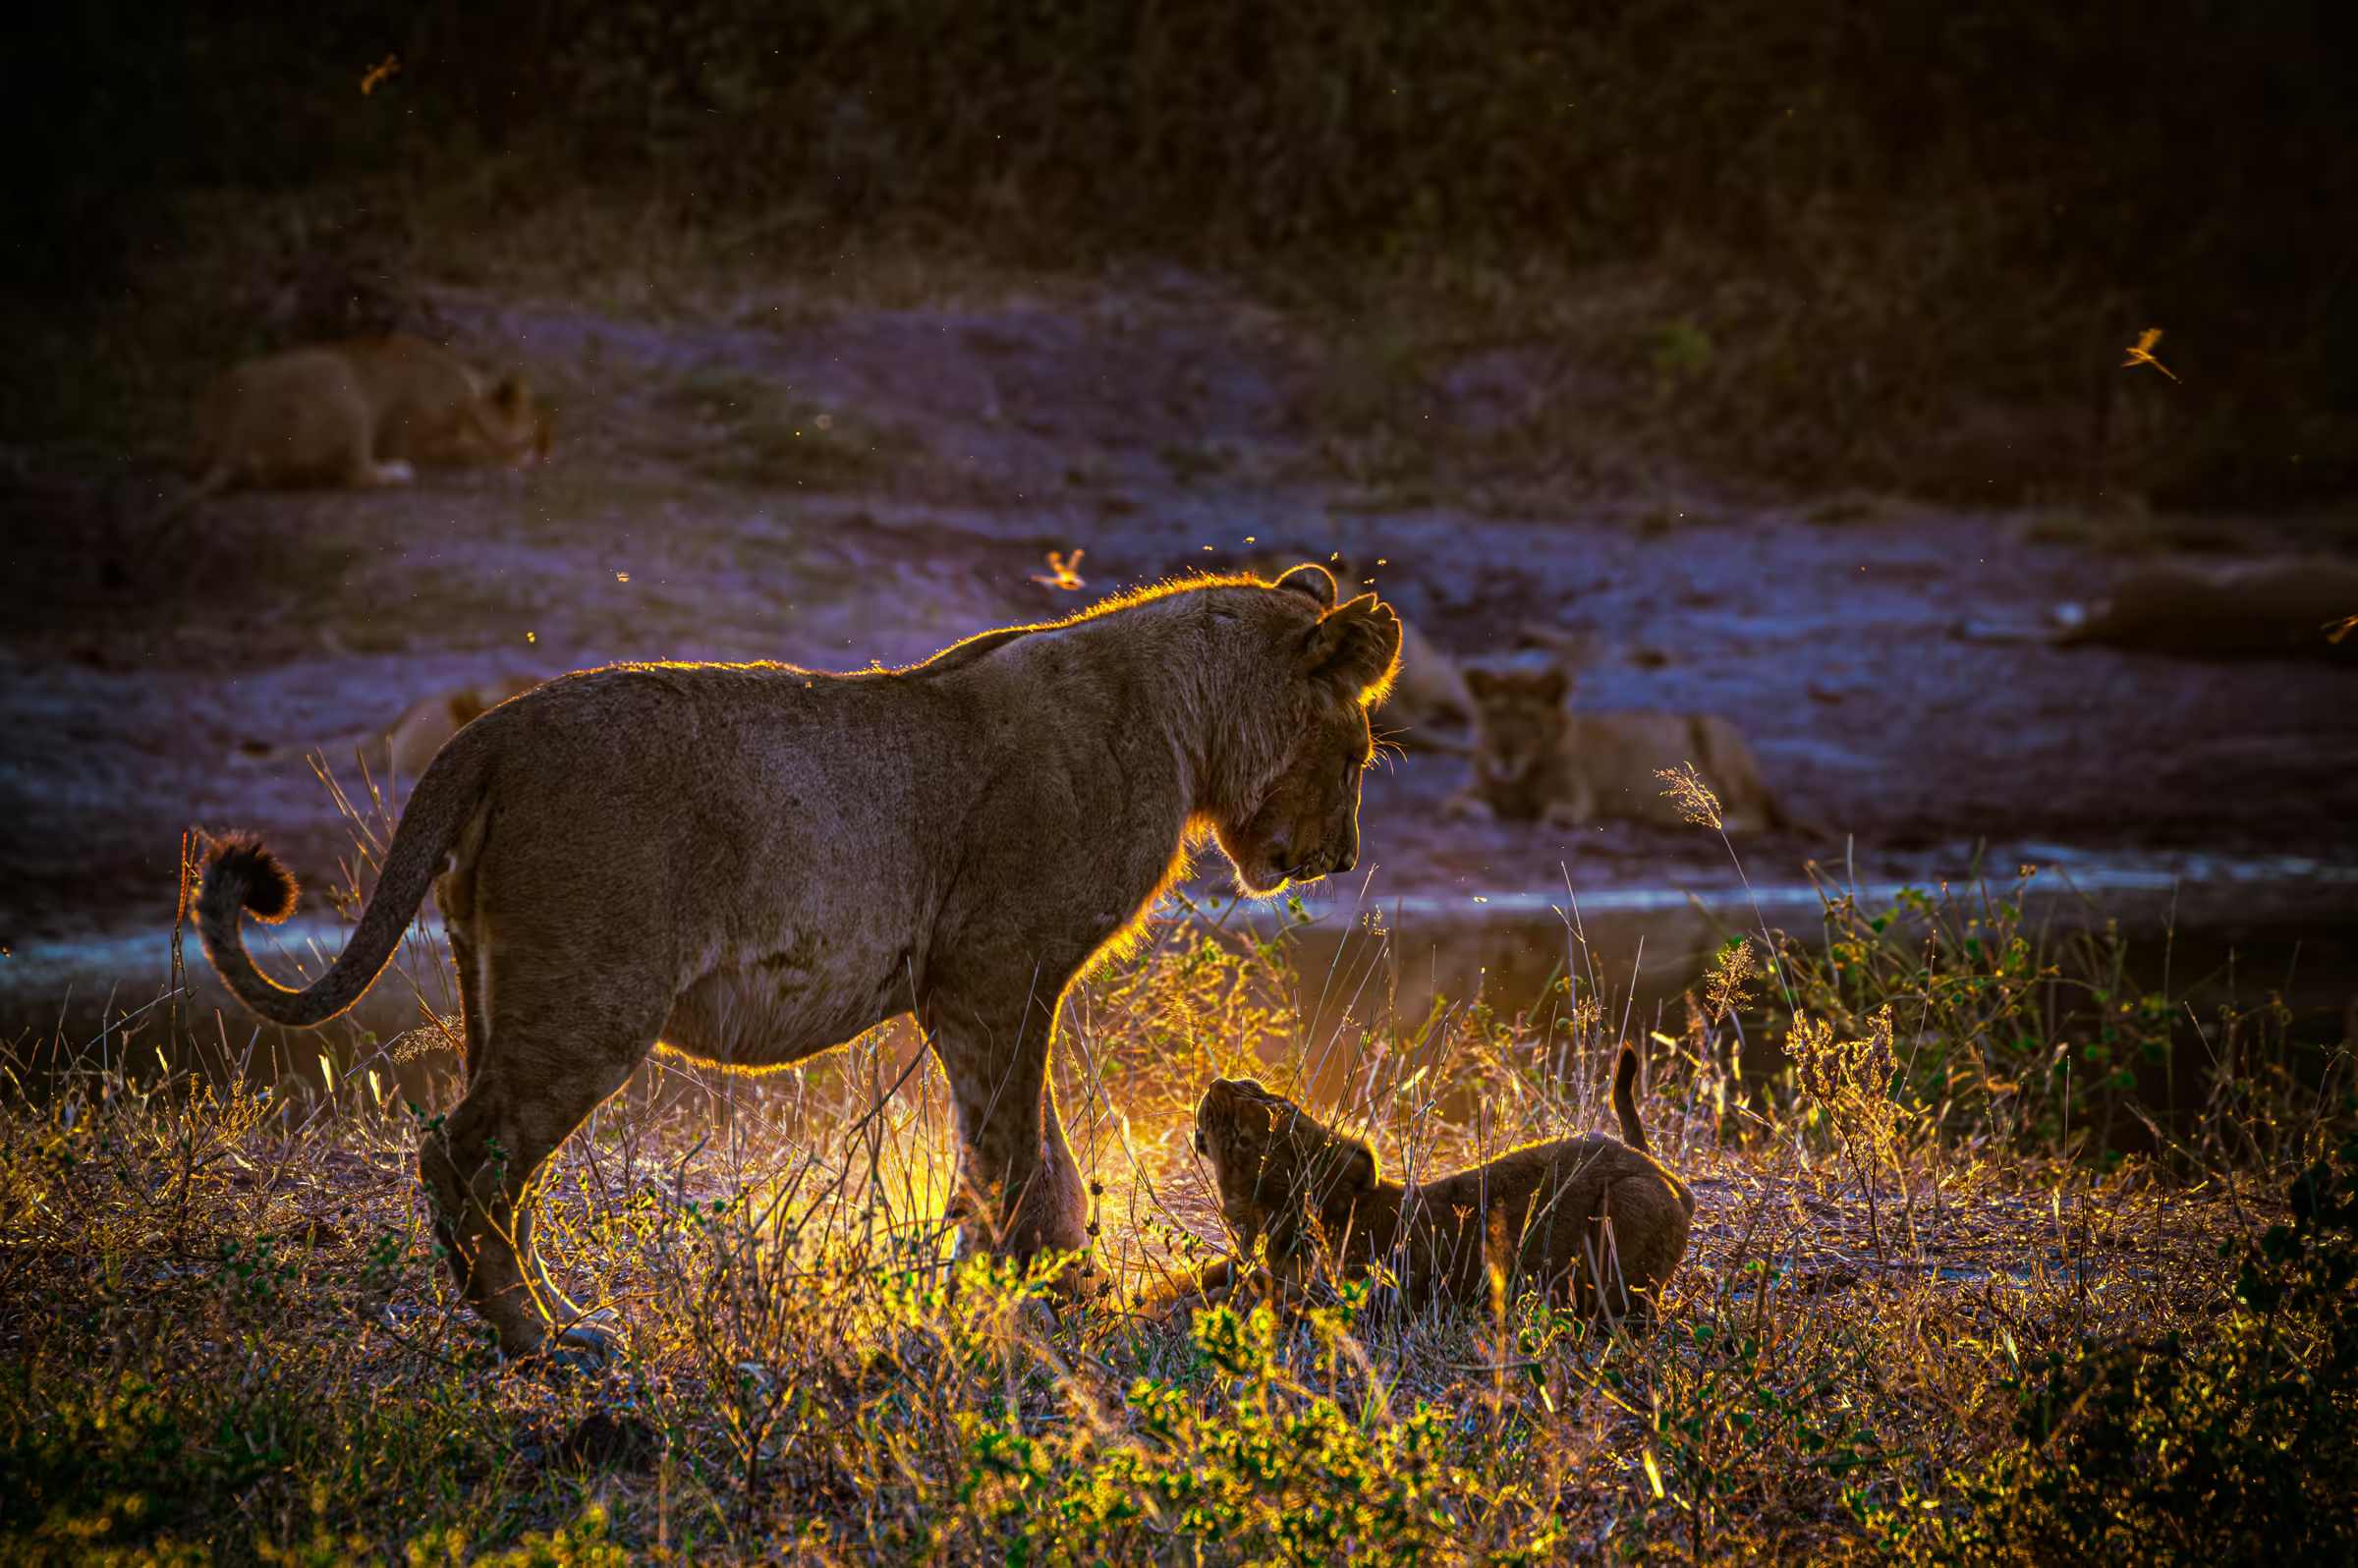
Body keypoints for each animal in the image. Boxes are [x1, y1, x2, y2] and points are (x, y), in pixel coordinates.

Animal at [185, 333, 548, 496]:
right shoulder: (415, 439)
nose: (547, 452)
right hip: (341, 383)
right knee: (357, 474)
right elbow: (465, 452)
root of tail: (234, 434)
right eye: (538, 432)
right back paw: (396, 472)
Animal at [193, 565, 1400, 1367]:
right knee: (467, 1158)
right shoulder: (990, 973)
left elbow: (1033, 1152)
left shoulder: (983, 990)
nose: (1341, 857)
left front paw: (1053, 1296)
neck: (1181, 715)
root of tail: (492, 730)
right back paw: (542, 1342)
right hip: (588, 1000)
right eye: (1357, 753)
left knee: (491, 1173)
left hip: (494, 986)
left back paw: (544, 1321)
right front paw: (1041, 1304)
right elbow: (1018, 1153)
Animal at [1447, 662, 1784, 833]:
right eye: (1496, 715)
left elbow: (1560, 810)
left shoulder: (1578, 797)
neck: (1519, 780)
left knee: (1755, 814)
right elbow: (1457, 803)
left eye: (1529, 718)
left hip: (1715, 729)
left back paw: (1718, 819)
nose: (1506, 755)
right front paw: (1476, 809)